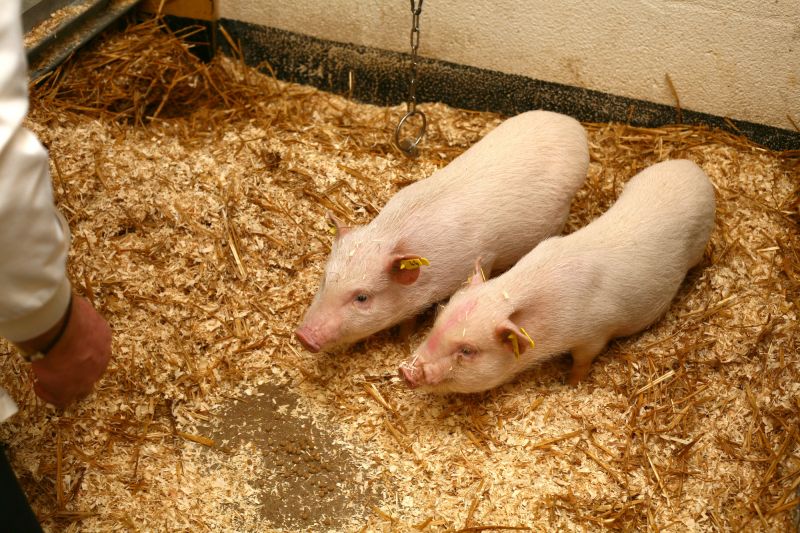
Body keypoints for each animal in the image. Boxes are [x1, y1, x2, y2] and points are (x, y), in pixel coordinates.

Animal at [295, 110, 590, 353]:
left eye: (362, 297)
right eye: (325, 280)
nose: (303, 336)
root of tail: (574, 127)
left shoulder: (478, 261)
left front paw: (404, 338)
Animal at [399, 159, 716, 393]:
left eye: (467, 350)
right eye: (437, 320)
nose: (405, 371)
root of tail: (693, 169)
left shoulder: (595, 334)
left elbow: (583, 361)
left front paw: (569, 384)